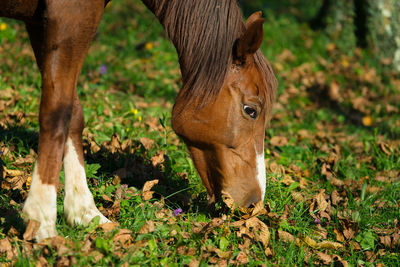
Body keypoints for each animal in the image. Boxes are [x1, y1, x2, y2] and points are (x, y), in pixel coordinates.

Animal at [0, 0, 276, 243]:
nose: (254, 203)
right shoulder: (70, 18)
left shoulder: (41, 24)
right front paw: (42, 220)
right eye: (251, 110)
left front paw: (84, 211)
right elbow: (57, 112)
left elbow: (74, 113)